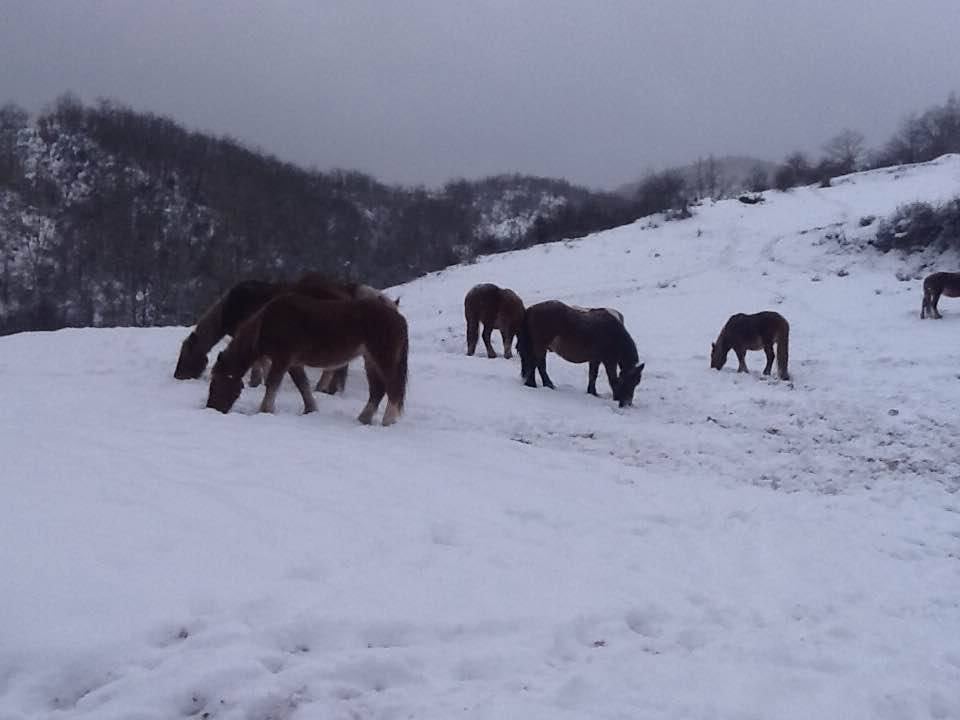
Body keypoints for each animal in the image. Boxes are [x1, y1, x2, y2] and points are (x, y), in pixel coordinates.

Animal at [204, 292, 406, 428]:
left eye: (217, 384)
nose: (211, 409)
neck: (266, 323)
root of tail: (397, 317)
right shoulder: (294, 364)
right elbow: (303, 386)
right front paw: (310, 409)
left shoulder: (282, 360)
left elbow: (272, 385)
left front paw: (265, 410)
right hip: (370, 360)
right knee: (378, 390)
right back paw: (363, 419)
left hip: (383, 358)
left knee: (393, 387)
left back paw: (387, 421)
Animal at [516, 300, 644, 410]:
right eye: (627, 381)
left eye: (636, 383)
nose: (627, 403)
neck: (613, 335)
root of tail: (531, 309)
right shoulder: (609, 361)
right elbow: (611, 378)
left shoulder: (595, 359)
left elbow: (593, 375)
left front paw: (592, 392)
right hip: (540, 346)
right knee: (539, 365)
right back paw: (545, 385)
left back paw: (533, 383)